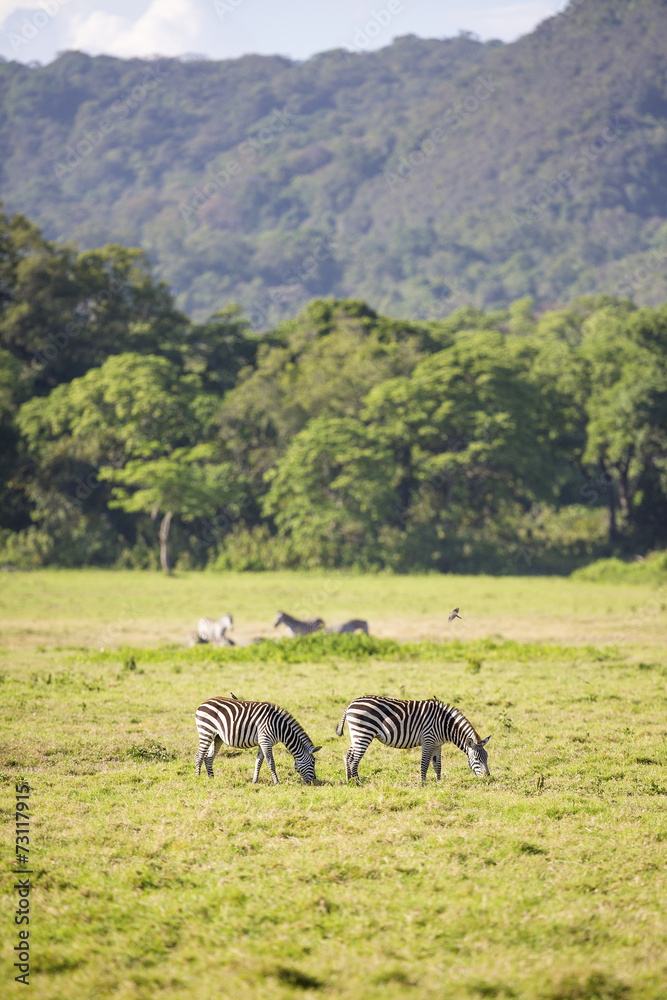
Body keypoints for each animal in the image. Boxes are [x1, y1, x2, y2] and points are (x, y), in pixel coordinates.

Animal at [336, 696, 490, 782]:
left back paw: (350, 782)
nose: (487, 777)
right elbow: (425, 763)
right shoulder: (428, 740)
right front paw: (423, 783)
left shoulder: (437, 744)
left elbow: (437, 765)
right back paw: (358, 782)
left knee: (348, 756)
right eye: (476, 759)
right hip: (363, 733)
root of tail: (350, 704)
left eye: (487, 758)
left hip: (357, 734)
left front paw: (439, 783)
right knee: (355, 759)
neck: (445, 724)